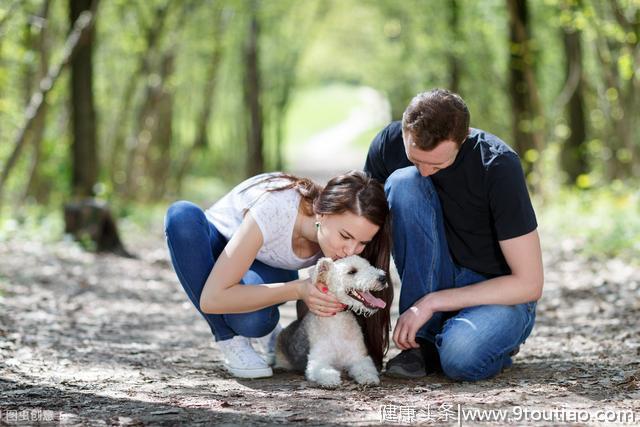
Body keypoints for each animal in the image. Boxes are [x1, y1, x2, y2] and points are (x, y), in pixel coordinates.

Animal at [274, 256, 384, 390]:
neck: (338, 320)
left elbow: (366, 369)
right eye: (352, 271)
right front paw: (330, 380)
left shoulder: (359, 357)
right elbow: (324, 372)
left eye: (368, 265)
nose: (383, 278)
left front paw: (369, 379)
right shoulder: (318, 361)